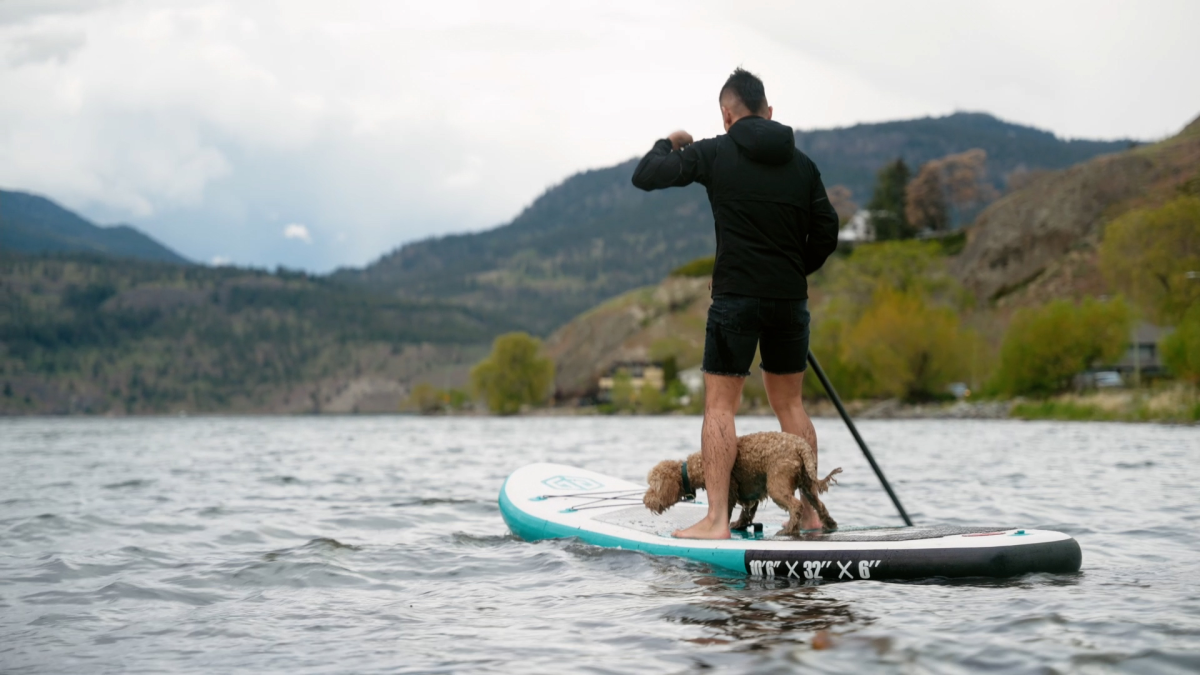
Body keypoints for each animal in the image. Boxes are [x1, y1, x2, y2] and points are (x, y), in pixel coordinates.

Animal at [643, 429, 840, 530]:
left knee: (796, 506)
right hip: (807, 484)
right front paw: (739, 524)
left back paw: (790, 528)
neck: (697, 466)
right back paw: (829, 523)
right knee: (819, 505)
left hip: (777, 485)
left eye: (653, 486)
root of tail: (801, 446)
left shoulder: (730, 490)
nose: (644, 500)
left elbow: (730, 509)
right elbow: (748, 511)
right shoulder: (752, 490)